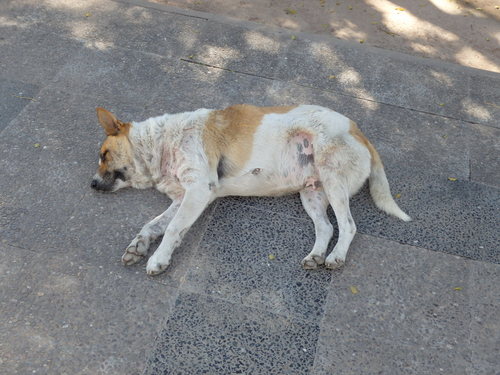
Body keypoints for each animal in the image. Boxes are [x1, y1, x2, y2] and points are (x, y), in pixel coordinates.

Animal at [91, 105, 410, 276]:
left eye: (104, 154)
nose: (91, 184)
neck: (162, 143)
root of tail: (360, 133)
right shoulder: (183, 198)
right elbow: (153, 225)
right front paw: (139, 246)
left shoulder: (197, 191)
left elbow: (170, 229)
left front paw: (158, 258)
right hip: (312, 193)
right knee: (326, 227)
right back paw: (316, 255)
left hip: (332, 180)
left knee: (348, 225)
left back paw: (336, 257)